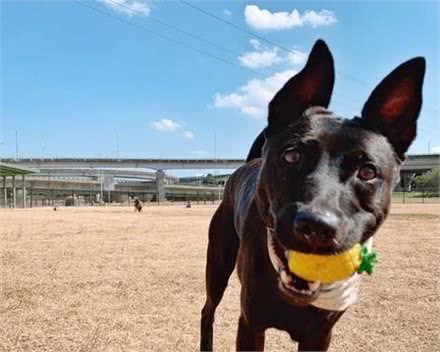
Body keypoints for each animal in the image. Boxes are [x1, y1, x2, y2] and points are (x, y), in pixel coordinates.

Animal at [201, 40, 424, 350]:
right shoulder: (250, 323)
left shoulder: (320, 334)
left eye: (367, 172)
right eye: (291, 155)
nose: (316, 226)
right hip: (218, 263)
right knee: (208, 310)